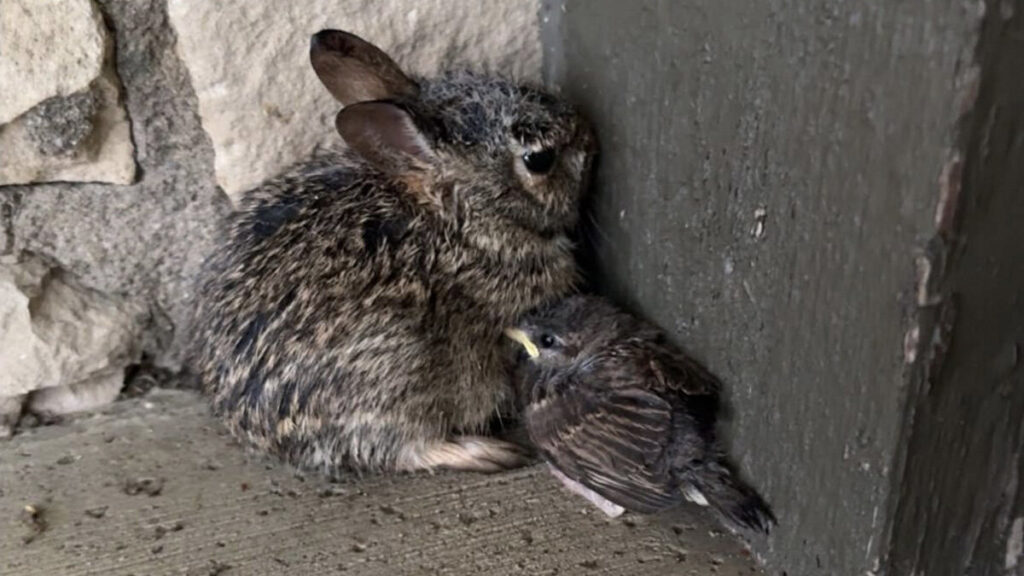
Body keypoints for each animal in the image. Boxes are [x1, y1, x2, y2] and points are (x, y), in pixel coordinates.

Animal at [189, 30, 597, 475]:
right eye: (539, 159)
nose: (589, 135)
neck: (462, 219)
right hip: (397, 380)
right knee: (402, 447)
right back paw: (486, 452)